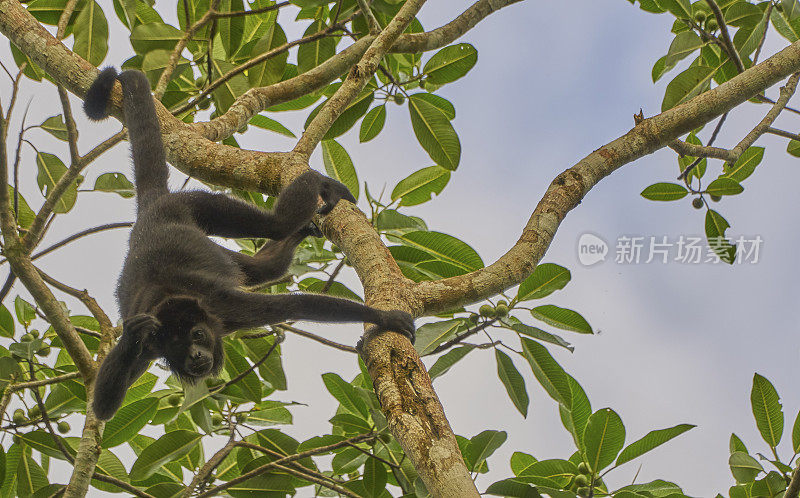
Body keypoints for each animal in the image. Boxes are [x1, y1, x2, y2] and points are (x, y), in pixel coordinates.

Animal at [84, 69, 416, 420]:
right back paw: (297, 232)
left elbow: (296, 306)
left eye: (197, 335)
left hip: (195, 201)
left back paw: (317, 182)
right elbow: (102, 406)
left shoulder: (227, 306)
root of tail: (152, 209)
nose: (196, 356)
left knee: (272, 225)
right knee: (265, 266)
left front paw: (384, 320)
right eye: (176, 345)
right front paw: (129, 336)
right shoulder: (151, 341)